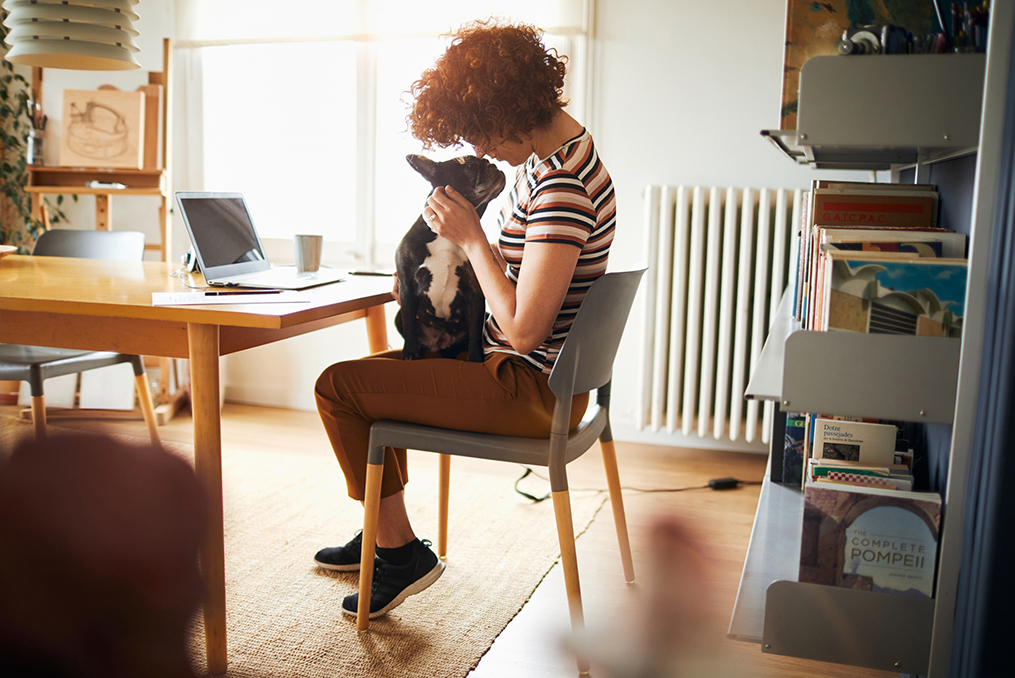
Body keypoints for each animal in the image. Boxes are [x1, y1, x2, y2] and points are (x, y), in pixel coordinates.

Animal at [395, 155, 507, 359]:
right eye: (470, 164)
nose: (492, 164)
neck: (447, 237)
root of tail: (437, 344)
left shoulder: (475, 292)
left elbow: (475, 333)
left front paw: (475, 358)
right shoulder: (406, 287)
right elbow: (410, 326)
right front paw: (410, 353)